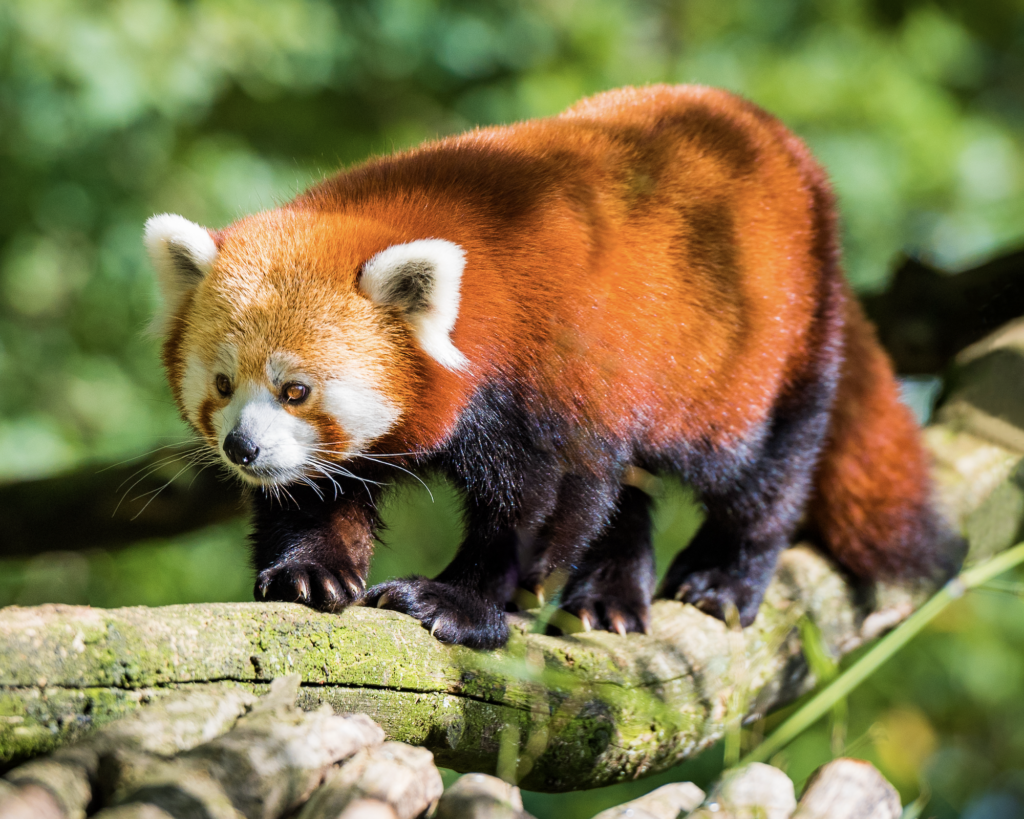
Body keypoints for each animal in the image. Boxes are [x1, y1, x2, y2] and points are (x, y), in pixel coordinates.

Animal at [146, 82, 966, 647]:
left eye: (296, 389)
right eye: (223, 385)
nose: (242, 448)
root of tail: (787, 152)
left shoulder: (547, 375)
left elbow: (538, 509)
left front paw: (460, 603)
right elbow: (321, 487)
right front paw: (312, 568)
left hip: (758, 348)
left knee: (762, 467)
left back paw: (726, 576)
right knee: (628, 485)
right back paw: (611, 592)